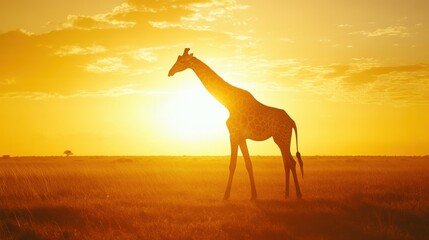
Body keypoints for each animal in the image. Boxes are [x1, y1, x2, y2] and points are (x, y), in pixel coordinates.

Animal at [169, 47, 302, 200]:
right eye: (177, 58)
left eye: (181, 61)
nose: (170, 72)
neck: (228, 102)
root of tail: (292, 121)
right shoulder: (241, 137)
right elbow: (248, 164)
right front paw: (253, 195)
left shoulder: (233, 134)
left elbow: (232, 164)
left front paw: (226, 196)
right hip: (280, 139)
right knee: (287, 162)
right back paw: (286, 194)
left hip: (282, 137)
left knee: (291, 162)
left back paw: (298, 194)